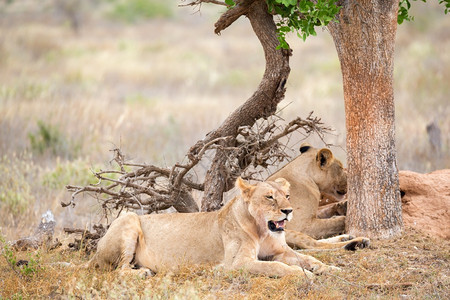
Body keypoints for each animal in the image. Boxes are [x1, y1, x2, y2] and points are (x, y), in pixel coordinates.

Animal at [89, 177, 340, 278]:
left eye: (287, 196)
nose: (288, 211)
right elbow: (276, 267)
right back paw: (142, 272)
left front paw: (328, 268)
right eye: (269, 197)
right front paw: (301, 274)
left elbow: (308, 258)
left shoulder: (280, 251)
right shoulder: (237, 264)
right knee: (118, 269)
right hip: (129, 218)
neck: (261, 229)